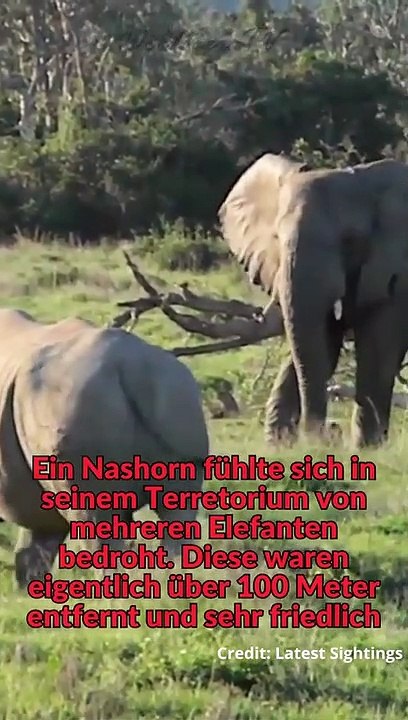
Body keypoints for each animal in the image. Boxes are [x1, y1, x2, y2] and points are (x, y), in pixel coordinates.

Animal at [218, 153, 408, 447]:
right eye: (276, 238)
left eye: (350, 241)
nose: (329, 431)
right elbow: (323, 345)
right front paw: (280, 445)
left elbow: (377, 347)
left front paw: (368, 449)